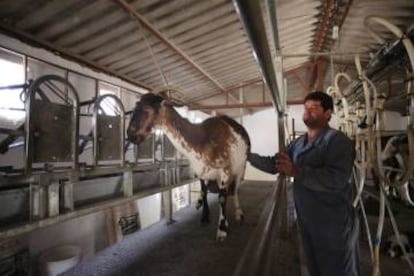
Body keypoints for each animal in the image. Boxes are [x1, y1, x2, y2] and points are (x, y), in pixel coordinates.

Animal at [126, 92, 251, 239]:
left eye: (147, 110)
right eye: (135, 108)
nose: (130, 135)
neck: (202, 139)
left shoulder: (225, 169)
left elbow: (221, 198)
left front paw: (221, 230)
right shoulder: (201, 171)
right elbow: (204, 192)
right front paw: (205, 217)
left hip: (241, 167)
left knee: (234, 189)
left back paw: (239, 214)